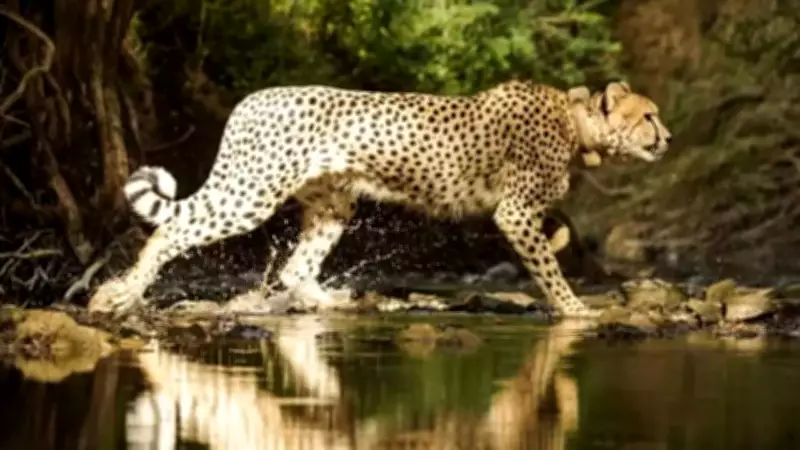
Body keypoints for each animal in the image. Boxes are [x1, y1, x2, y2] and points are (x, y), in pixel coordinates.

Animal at [87, 79, 672, 318]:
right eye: (647, 115)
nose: (667, 138)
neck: (578, 127)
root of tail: (253, 98)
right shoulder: (513, 211)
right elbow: (548, 268)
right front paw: (575, 309)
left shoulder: (520, 211)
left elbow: (559, 238)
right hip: (252, 191)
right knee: (170, 230)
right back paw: (119, 294)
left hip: (333, 204)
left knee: (297, 268)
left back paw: (336, 303)